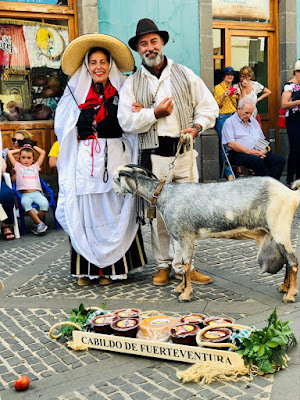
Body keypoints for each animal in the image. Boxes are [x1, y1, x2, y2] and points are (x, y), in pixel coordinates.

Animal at [113, 164, 300, 302]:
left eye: (115, 179)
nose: (115, 192)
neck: (165, 195)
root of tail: (290, 194)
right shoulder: (179, 238)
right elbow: (182, 263)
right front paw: (180, 288)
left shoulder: (186, 236)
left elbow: (186, 265)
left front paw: (185, 295)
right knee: (289, 258)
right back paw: (284, 288)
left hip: (279, 228)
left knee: (293, 260)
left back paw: (290, 295)